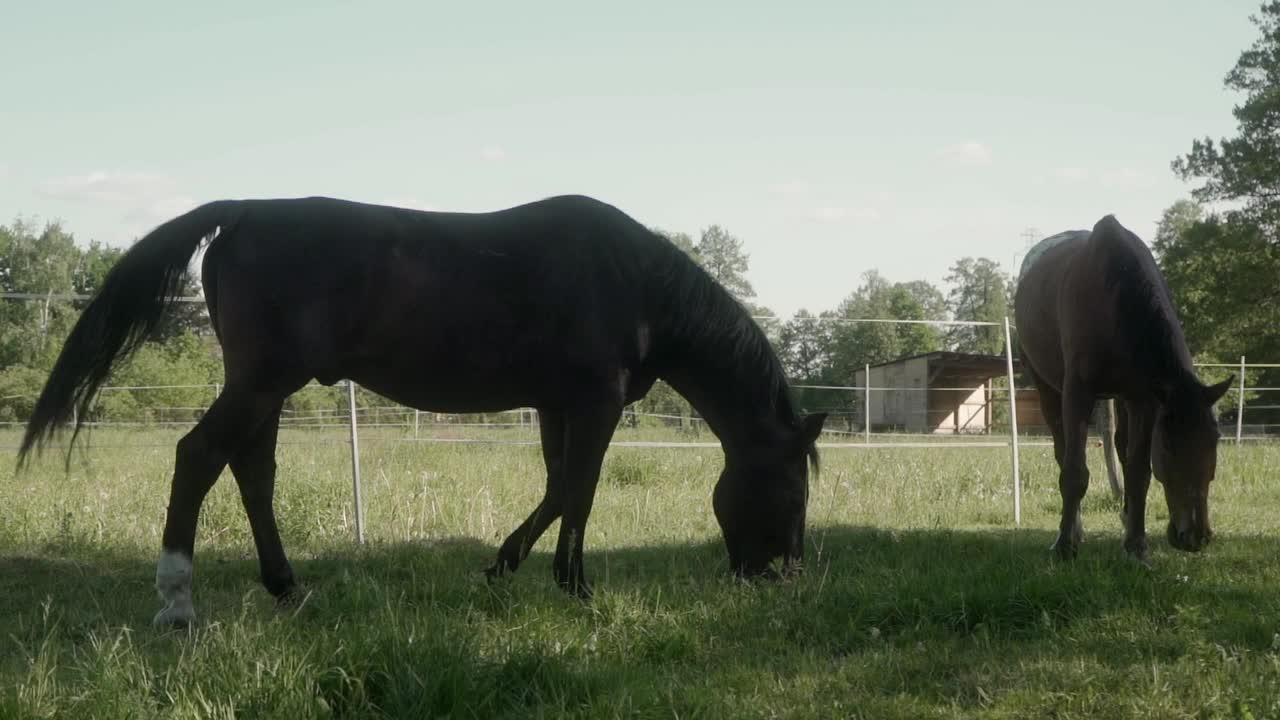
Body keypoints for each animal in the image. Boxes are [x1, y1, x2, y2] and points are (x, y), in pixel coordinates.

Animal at [17, 194, 829, 622]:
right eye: (794, 491)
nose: (784, 578)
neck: (636, 285)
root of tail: (243, 211)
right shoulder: (593, 402)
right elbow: (580, 492)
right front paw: (576, 587)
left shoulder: (556, 404)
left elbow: (556, 488)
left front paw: (504, 565)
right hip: (259, 383)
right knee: (199, 458)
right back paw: (178, 602)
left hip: (266, 389)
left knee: (252, 472)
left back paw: (287, 587)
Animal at [1013, 215, 1233, 563]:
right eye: (1169, 447)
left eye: (1215, 442)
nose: (1196, 536)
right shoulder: (1078, 394)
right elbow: (1075, 471)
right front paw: (1064, 546)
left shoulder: (1143, 399)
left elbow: (1138, 472)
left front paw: (1137, 546)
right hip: (1047, 387)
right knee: (1063, 453)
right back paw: (1074, 532)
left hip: (1120, 398)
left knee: (1121, 448)